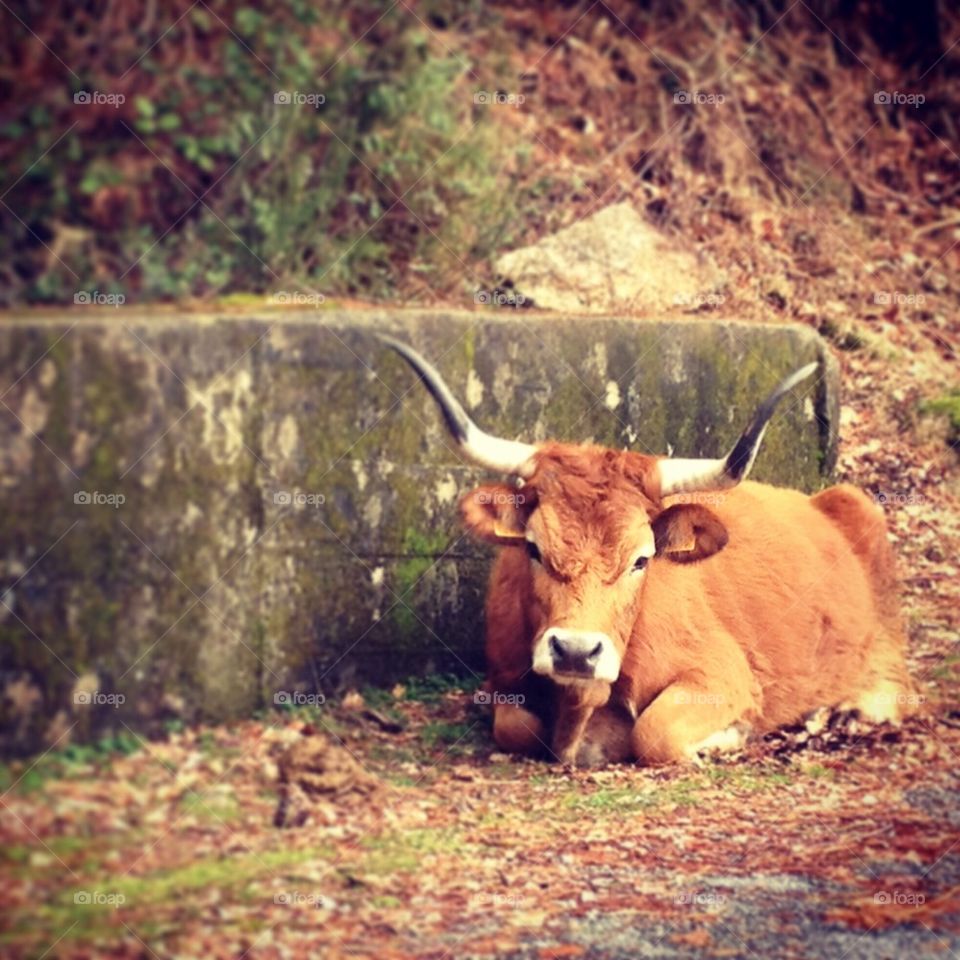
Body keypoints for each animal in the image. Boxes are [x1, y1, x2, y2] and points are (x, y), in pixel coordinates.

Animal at [381, 336, 917, 766]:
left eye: (641, 559)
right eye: (533, 549)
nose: (576, 650)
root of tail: (823, 496)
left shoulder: (721, 673)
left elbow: (655, 733)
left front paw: (730, 736)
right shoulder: (502, 678)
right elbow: (516, 726)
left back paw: (846, 712)